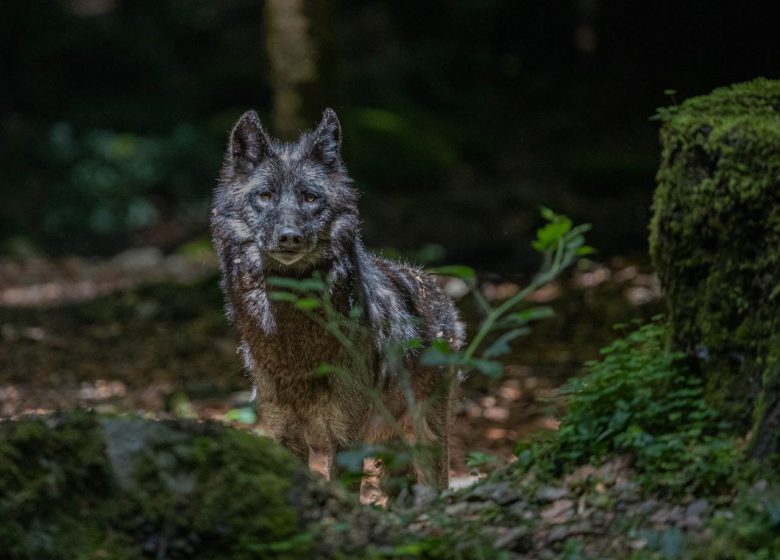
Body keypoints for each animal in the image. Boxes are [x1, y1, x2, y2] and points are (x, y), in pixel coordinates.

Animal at [210, 109, 464, 490]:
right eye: (265, 195)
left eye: (310, 198)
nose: (289, 237)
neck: (293, 345)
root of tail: (435, 289)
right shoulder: (284, 433)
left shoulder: (346, 439)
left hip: (425, 435)